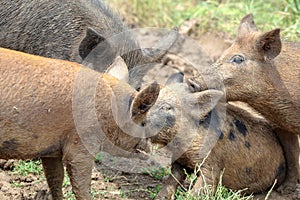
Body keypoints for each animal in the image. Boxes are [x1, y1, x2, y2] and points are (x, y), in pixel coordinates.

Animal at [0, 47, 161, 200]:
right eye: (143, 123)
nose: (149, 149)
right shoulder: (81, 145)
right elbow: (81, 186)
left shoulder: (52, 150)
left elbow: (55, 178)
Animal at [134, 73, 286, 198]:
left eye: (167, 107)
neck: (182, 146)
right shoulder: (179, 160)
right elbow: (173, 179)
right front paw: (160, 197)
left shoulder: (211, 162)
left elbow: (204, 185)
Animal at [191, 13, 298, 193]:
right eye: (222, 54)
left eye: (238, 59)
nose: (192, 81)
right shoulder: (281, 124)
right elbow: (291, 154)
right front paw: (284, 190)